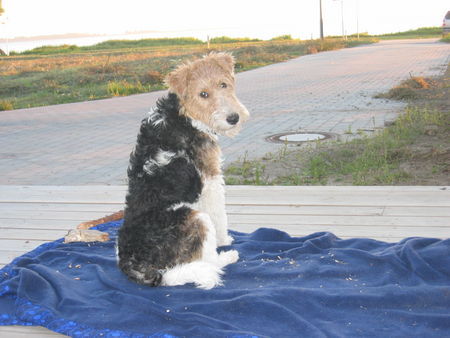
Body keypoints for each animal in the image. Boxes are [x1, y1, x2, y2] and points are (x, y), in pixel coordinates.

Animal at [79, 52, 251, 288]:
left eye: (223, 84)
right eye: (203, 94)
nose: (233, 118)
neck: (183, 114)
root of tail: (131, 261)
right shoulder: (211, 179)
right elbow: (220, 215)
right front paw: (225, 239)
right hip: (197, 218)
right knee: (208, 260)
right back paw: (228, 255)